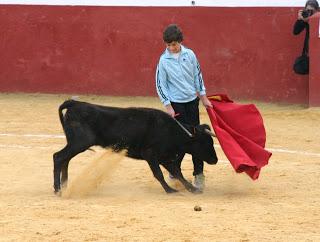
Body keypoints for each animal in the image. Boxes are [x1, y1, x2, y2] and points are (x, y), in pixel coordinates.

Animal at [53, 99, 218, 194]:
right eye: (204, 142)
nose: (215, 160)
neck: (172, 130)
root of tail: (75, 104)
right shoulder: (150, 154)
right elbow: (159, 173)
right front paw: (170, 190)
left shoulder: (164, 157)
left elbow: (177, 173)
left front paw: (193, 189)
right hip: (80, 142)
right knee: (58, 157)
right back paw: (58, 189)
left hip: (75, 143)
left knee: (65, 160)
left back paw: (65, 186)